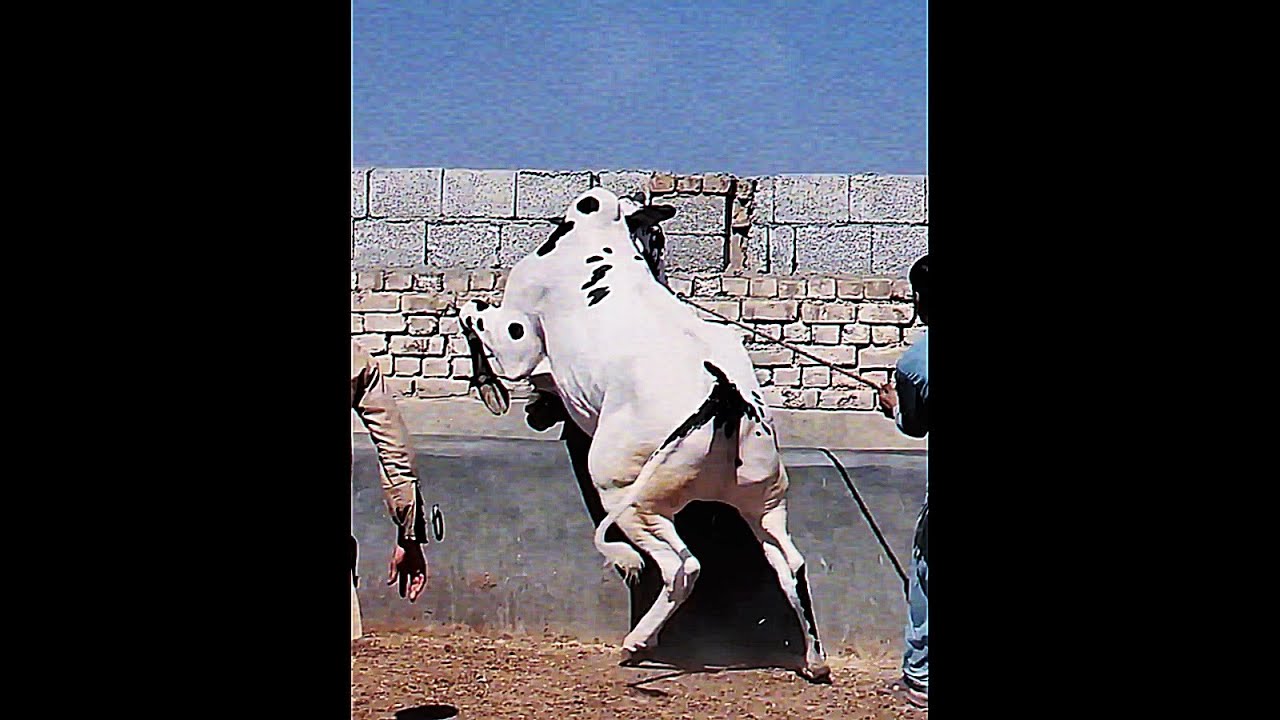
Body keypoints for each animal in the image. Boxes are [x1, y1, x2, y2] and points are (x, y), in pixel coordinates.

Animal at [458, 187, 830, 682]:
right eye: (656, 239)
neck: (603, 235)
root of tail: (725, 392)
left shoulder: (518, 334)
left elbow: (476, 317)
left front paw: (495, 389)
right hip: (764, 500)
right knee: (791, 566)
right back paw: (814, 661)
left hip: (629, 496)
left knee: (682, 566)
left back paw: (636, 643)